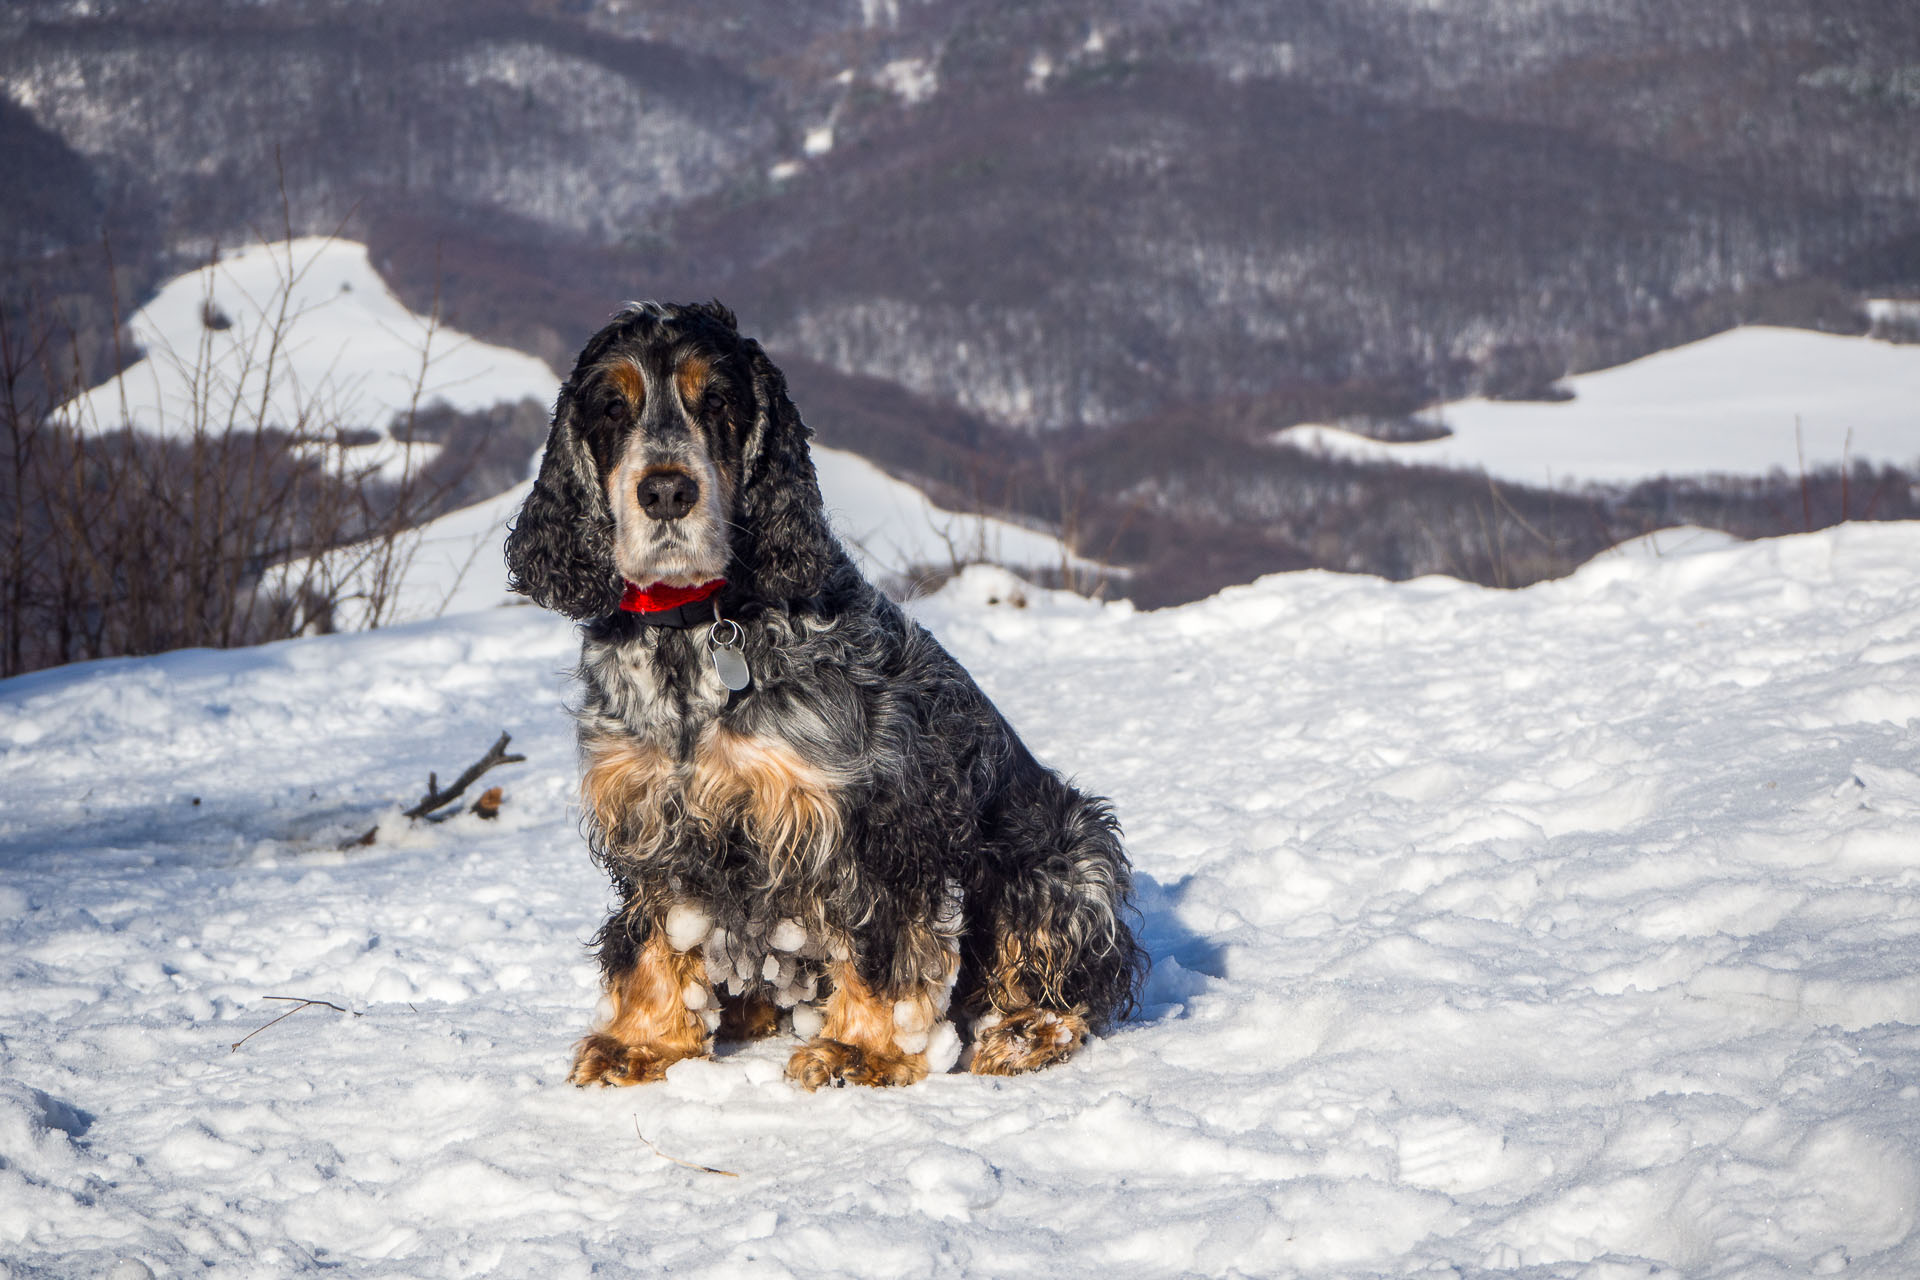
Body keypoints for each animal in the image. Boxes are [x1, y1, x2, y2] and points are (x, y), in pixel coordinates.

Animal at [503, 303, 1144, 1090]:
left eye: (718, 401)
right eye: (611, 407)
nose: (666, 491)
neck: (695, 631)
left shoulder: (871, 819)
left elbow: (882, 941)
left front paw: (862, 1051)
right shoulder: (654, 817)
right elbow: (658, 932)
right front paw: (642, 1042)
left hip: (1066, 854)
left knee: (1071, 979)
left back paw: (1023, 1034)